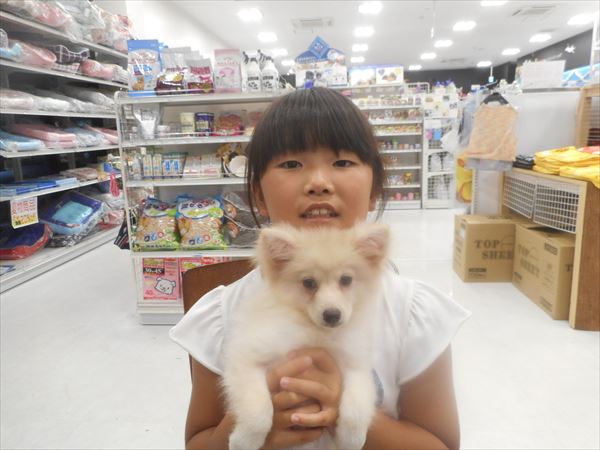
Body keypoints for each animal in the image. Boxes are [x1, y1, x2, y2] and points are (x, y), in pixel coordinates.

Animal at [222, 222, 390, 449]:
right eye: (309, 282)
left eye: (346, 280)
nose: (332, 315)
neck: (316, 333)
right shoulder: (247, 359)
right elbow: (258, 411)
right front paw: (243, 441)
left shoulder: (355, 367)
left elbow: (355, 410)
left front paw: (351, 440)